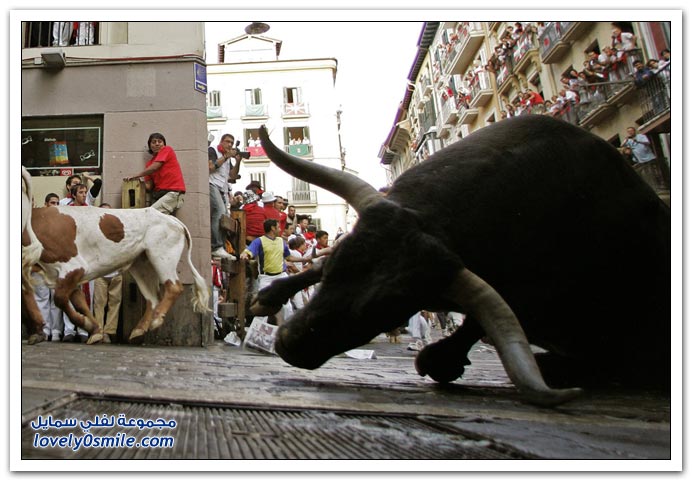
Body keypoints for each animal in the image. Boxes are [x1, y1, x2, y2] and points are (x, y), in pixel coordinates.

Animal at [255, 116, 672, 404]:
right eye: (340, 264)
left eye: (391, 307)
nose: (290, 342)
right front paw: (270, 296)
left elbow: (476, 325)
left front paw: (440, 358)